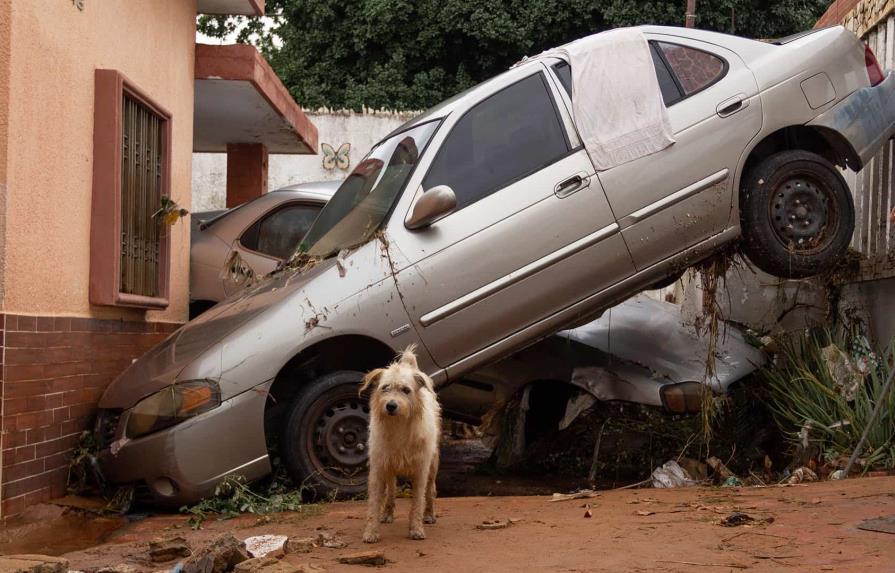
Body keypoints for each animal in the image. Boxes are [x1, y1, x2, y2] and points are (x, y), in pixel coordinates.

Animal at [358, 344, 440, 540]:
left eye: (406, 390)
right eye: (385, 388)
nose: (391, 405)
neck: (398, 425)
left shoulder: (421, 469)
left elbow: (418, 501)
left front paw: (416, 529)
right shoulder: (378, 468)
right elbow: (374, 503)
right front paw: (371, 532)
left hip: (433, 465)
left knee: (430, 491)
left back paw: (429, 515)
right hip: (389, 468)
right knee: (391, 491)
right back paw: (387, 514)